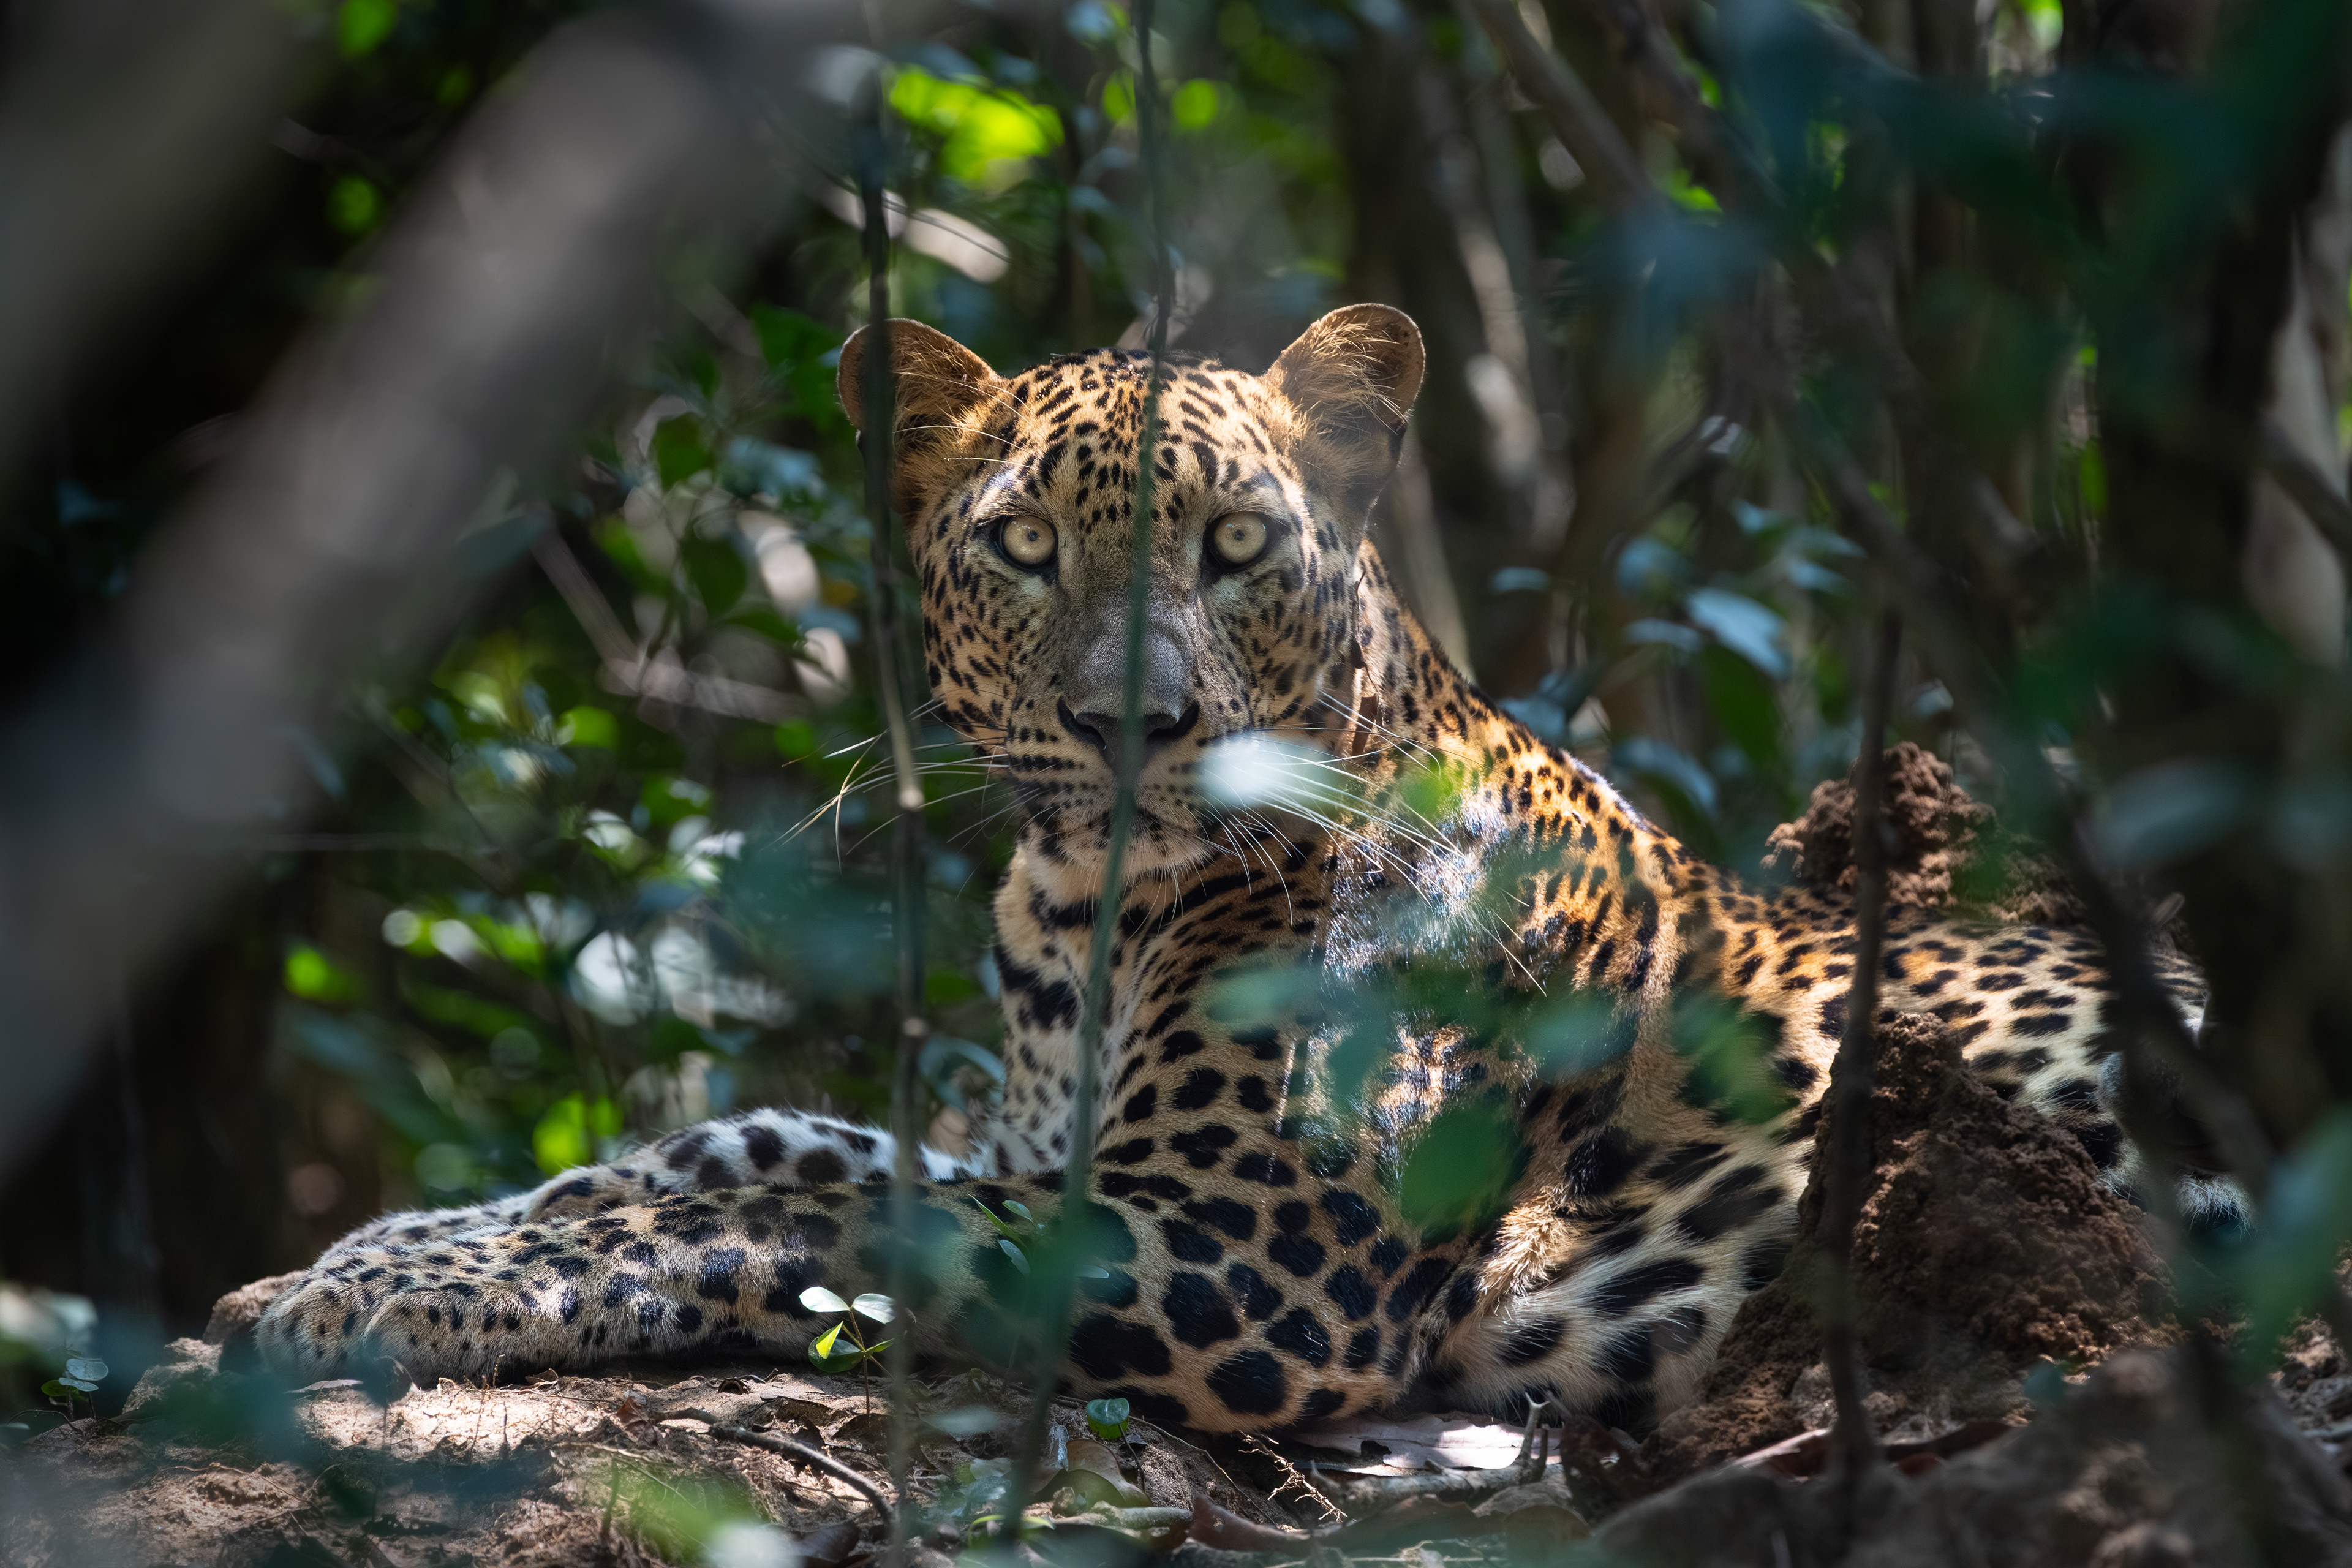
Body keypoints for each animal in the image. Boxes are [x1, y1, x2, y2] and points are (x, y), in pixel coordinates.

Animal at [252, 304, 2235, 1434]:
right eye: (1023, 547)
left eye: (1230, 546)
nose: (1135, 721)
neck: (1083, 912)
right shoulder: (1060, 1143)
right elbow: (753, 1139)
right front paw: (392, 1237)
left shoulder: (1261, 1251)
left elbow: (809, 1215)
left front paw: (401, 1293)